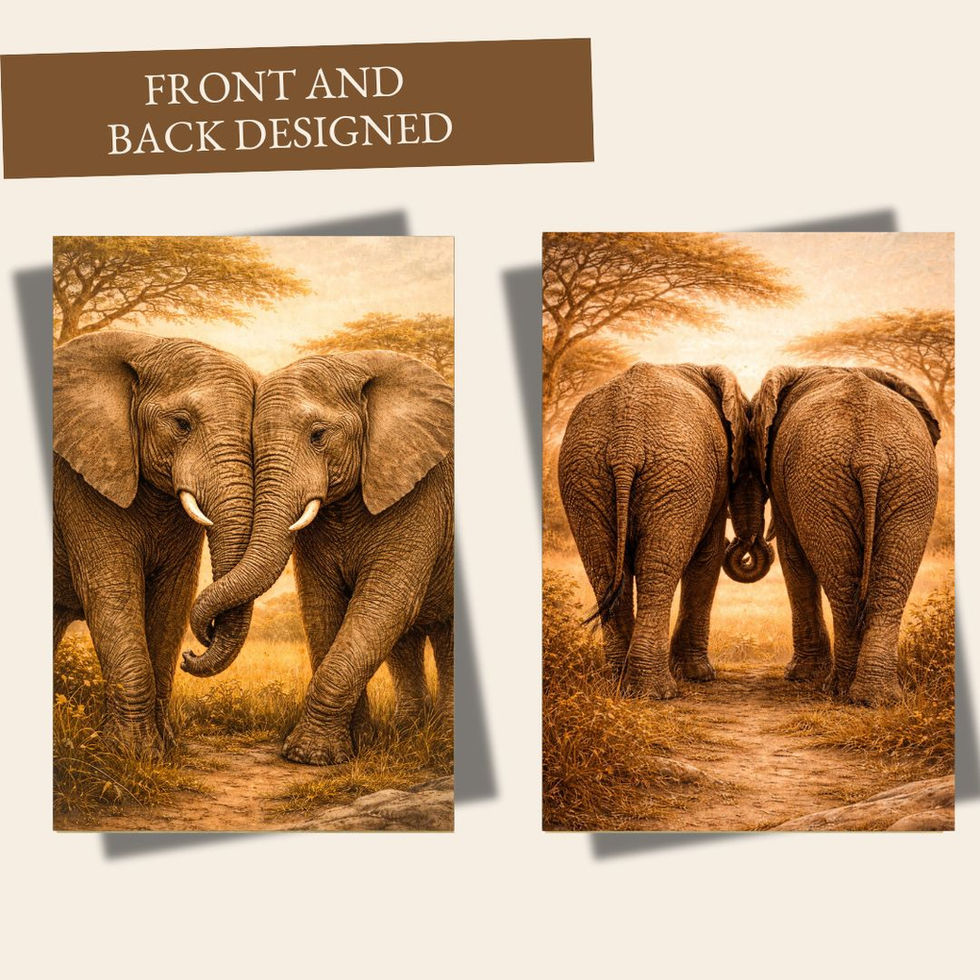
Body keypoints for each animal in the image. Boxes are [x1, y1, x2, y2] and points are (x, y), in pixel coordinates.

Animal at [54, 331, 257, 756]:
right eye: (182, 424)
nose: (194, 652)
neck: (144, 346)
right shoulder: (78, 481)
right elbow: (114, 589)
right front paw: (129, 753)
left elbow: (174, 597)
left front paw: (164, 751)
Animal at [182, 350, 454, 766]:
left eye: (318, 435)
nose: (192, 651)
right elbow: (321, 605)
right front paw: (351, 746)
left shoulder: (423, 494)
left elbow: (384, 604)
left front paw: (308, 755)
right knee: (412, 641)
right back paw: (410, 733)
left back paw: (443, 740)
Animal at [558, 362, 772, 700]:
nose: (747, 550)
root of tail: (626, 441)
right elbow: (708, 557)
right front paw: (700, 676)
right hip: (671, 474)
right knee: (657, 568)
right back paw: (656, 692)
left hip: (587, 473)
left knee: (605, 568)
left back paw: (619, 682)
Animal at [751, 365, 940, 705]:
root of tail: (870, 450)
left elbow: (792, 556)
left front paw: (799, 676)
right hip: (893, 479)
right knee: (871, 583)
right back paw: (872, 696)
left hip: (854, 478)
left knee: (849, 582)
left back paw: (847, 690)